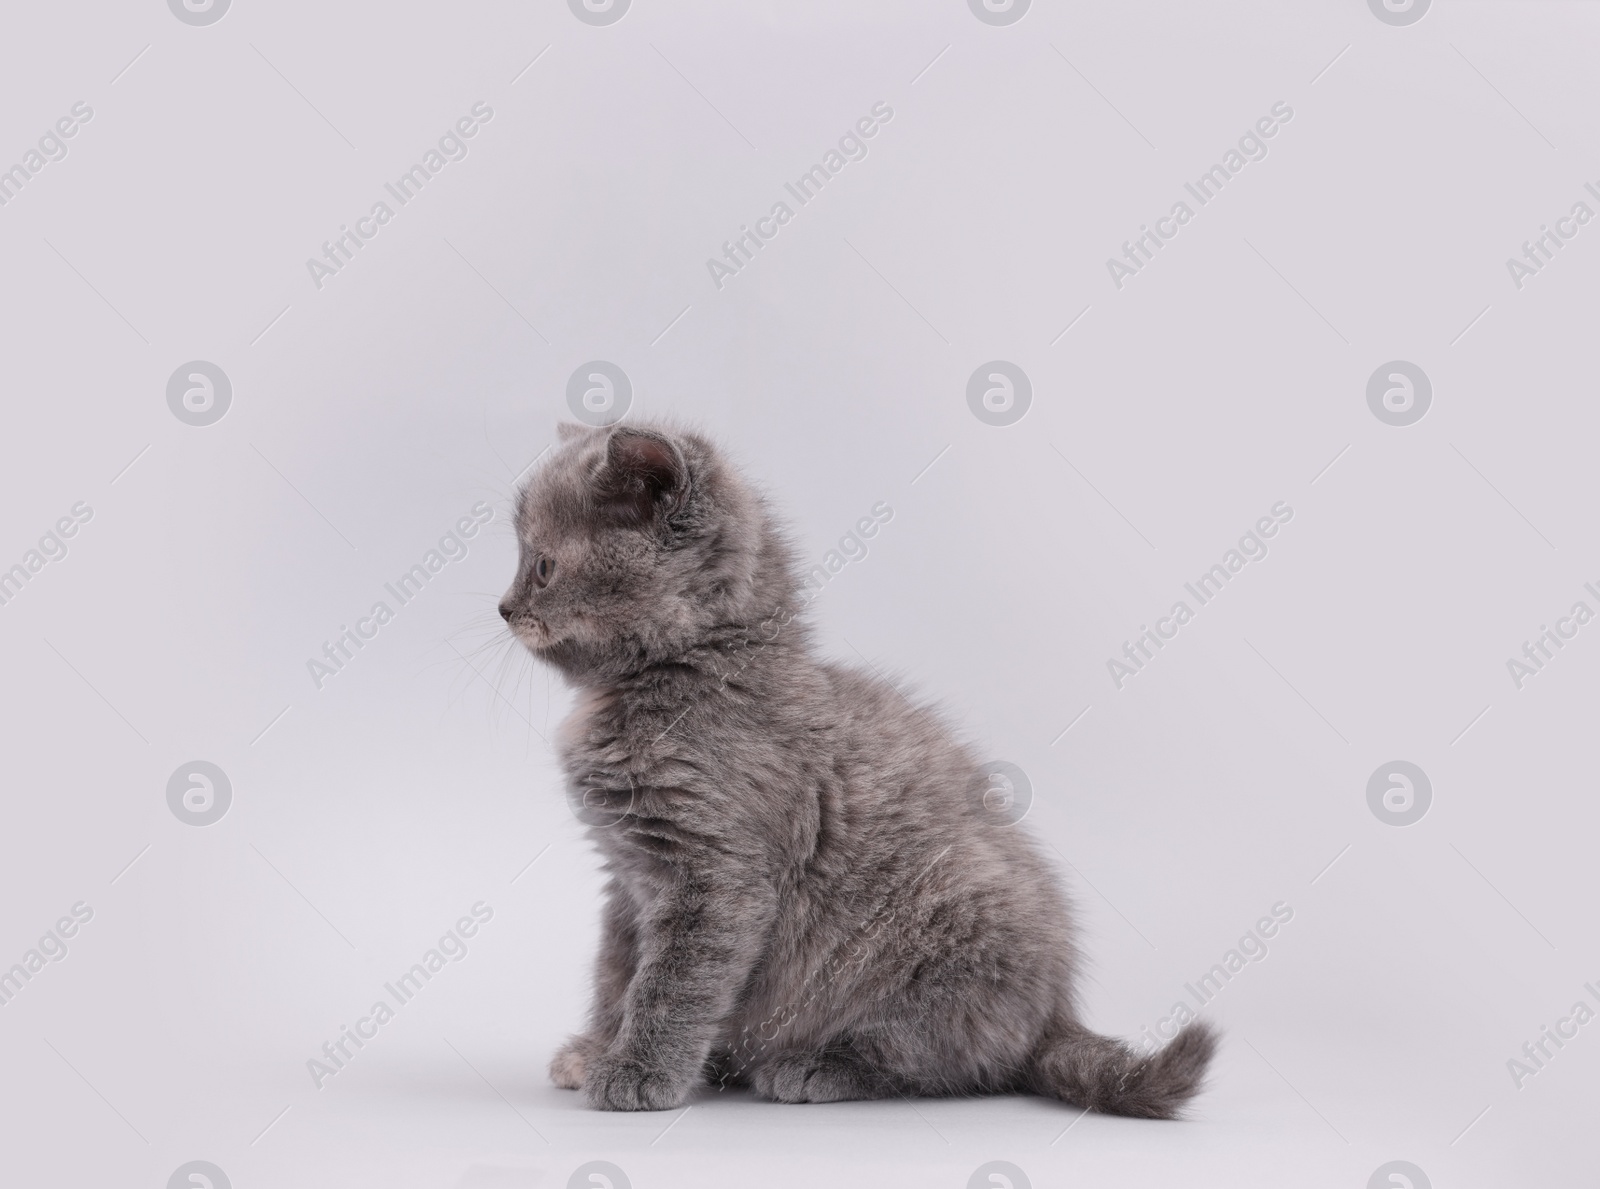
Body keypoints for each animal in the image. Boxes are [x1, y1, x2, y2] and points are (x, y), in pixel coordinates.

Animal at [499, 419, 1209, 1113]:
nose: (503, 609)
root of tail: (1057, 1013)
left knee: (948, 1059)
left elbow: (673, 985)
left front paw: (638, 1073)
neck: (687, 674)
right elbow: (616, 972)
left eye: (542, 566)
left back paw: (815, 1067)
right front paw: (597, 1050)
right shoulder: (627, 878)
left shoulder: (715, 876)